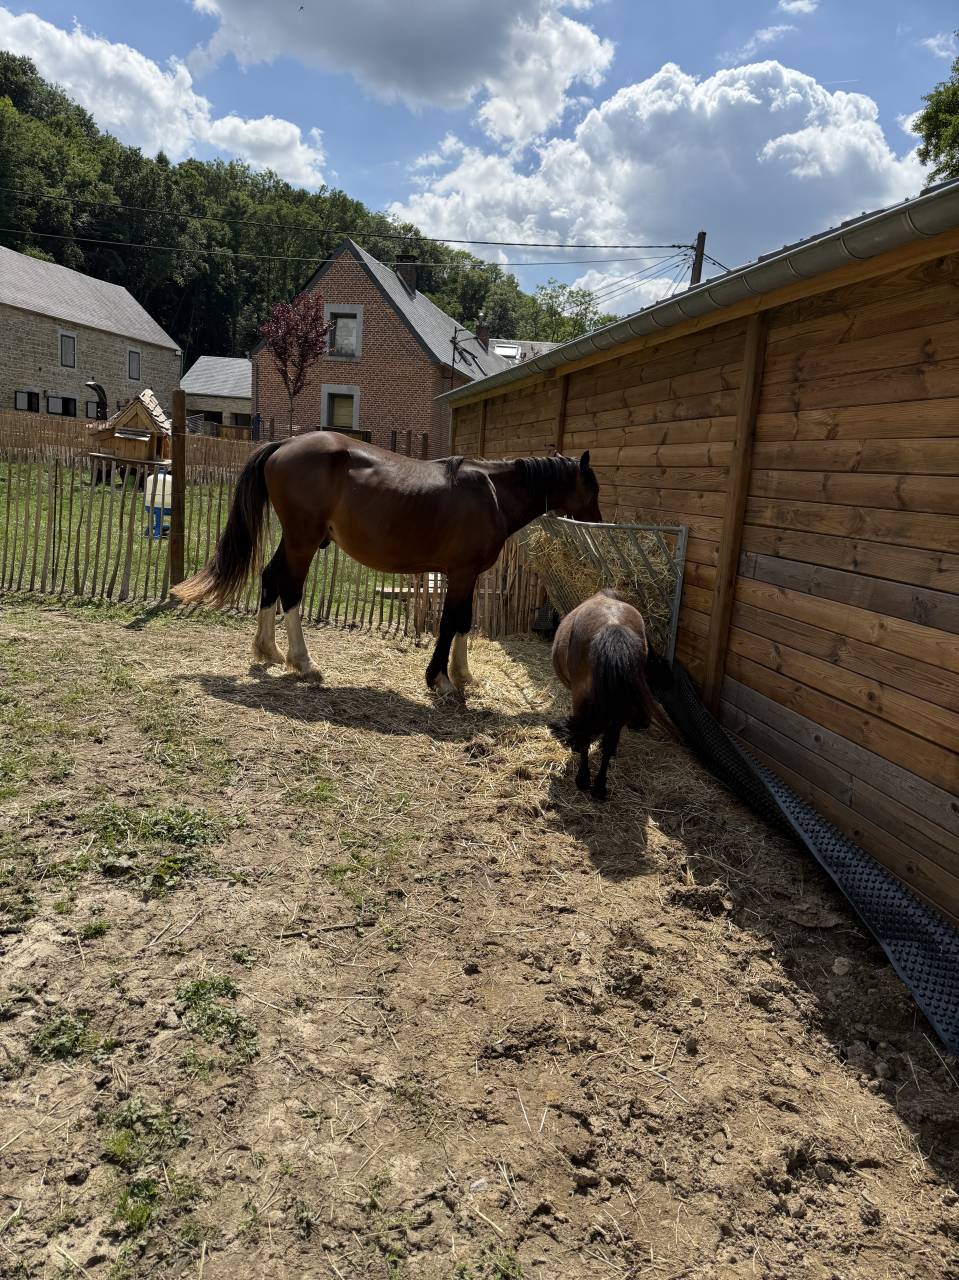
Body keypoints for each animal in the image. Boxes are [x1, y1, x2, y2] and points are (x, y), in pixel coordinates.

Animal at [171, 431, 603, 694]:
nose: (598, 523)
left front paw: (465, 676)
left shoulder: (470, 576)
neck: (492, 493)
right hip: (303, 541)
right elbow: (450, 623)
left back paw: (268, 651)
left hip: (295, 541)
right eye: (593, 489)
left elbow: (465, 622)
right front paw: (440, 679)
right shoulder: (461, 574)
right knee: (290, 589)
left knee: (270, 577)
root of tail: (284, 444)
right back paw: (304, 663)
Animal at [550, 589, 661, 800]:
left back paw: (583, 780)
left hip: (582, 698)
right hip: (620, 705)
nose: (642, 724)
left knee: (585, 735)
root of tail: (613, 624)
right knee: (609, 742)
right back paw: (600, 787)